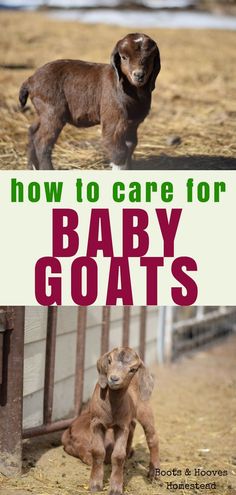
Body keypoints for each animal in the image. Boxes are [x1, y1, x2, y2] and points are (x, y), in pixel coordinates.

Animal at [19, 33, 161, 170]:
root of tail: (30, 80)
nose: (139, 75)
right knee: (42, 141)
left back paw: (31, 166)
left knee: (32, 131)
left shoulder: (133, 123)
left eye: (150, 58)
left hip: (42, 110)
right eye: (124, 57)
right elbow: (117, 149)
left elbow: (131, 145)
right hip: (52, 110)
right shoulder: (114, 117)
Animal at [61, 346, 159, 495]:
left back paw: (154, 473)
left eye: (132, 369)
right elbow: (98, 451)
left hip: (144, 407)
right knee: (133, 425)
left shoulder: (121, 426)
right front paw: (95, 485)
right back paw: (129, 454)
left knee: (152, 437)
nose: (113, 378)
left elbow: (117, 455)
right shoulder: (96, 423)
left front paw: (116, 488)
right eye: (109, 360)